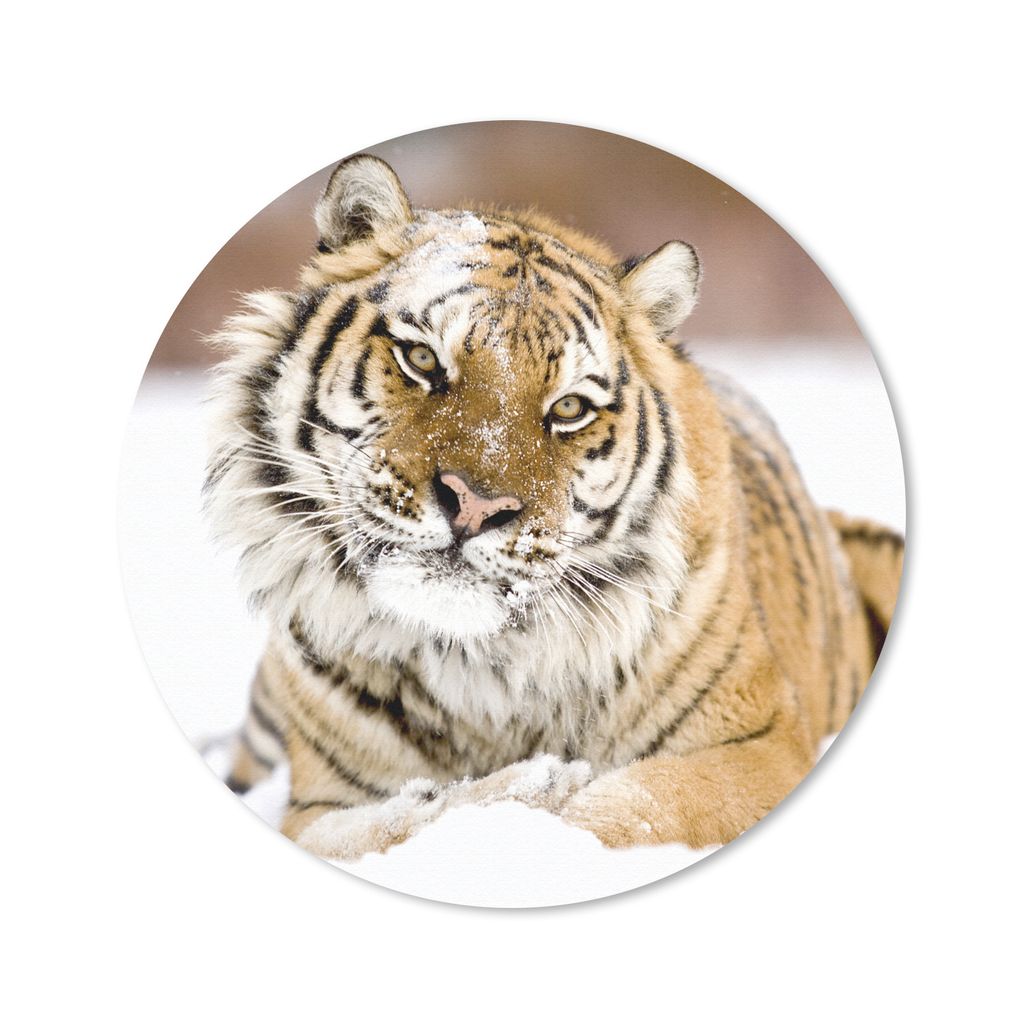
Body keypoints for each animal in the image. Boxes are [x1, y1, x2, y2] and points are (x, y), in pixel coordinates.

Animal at [203, 154, 904, 859]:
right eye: (421, 358)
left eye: (569, 408)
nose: (476, 506)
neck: (477, 673)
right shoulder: (316, 806)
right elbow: (375, 829)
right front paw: (518, 786)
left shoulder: (756, 752)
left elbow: (626, 809)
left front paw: (538, 790)